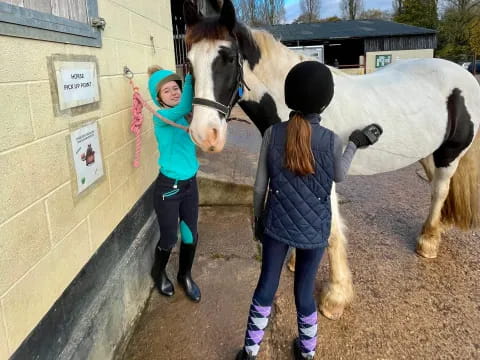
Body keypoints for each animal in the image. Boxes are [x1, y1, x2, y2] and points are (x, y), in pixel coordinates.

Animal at [183, 0, 480, 320]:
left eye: (227, 57)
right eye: (189, 61)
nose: (204, 134)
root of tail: (463, 76)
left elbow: (333, 232)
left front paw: (335, 296)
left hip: (450, 152)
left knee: (440, 189)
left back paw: (428, 241)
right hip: (426, 151)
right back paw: (439, 228)